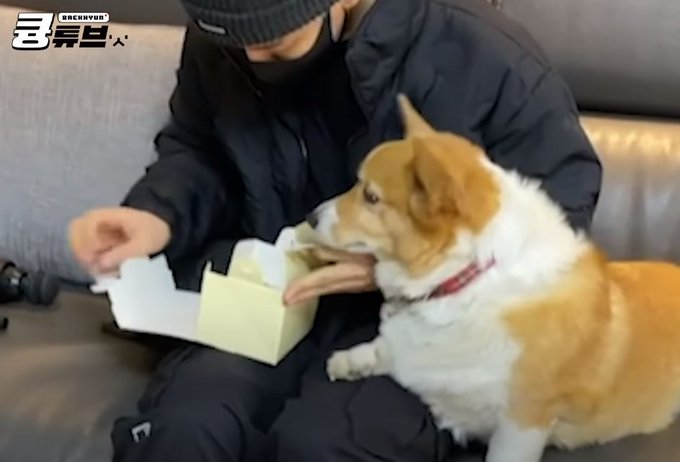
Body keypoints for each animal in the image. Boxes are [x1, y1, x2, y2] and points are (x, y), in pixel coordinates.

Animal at [306, 95, 680, 462]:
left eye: (371, 197)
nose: (310, 216)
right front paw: (349, 361)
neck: (465, 279)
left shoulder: (520, 426)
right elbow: (384, 349)